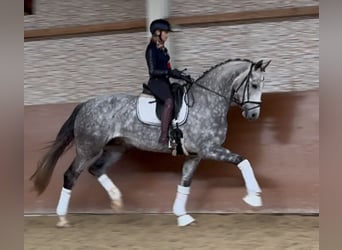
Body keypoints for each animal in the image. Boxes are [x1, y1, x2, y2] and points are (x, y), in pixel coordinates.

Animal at [30, 57, 272, 228]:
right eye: (253, 84)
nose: (253, 115)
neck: (207, 100)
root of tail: (85, 104)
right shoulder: (210, 149)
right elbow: (243, 161)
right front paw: (254, 198)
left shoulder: (196, 155)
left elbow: (185, 183)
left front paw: (182, 216)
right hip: (88, 148)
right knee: (71, 175)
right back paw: (62, 219)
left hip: (116, 149)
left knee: (96, 169)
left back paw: (117, 200)